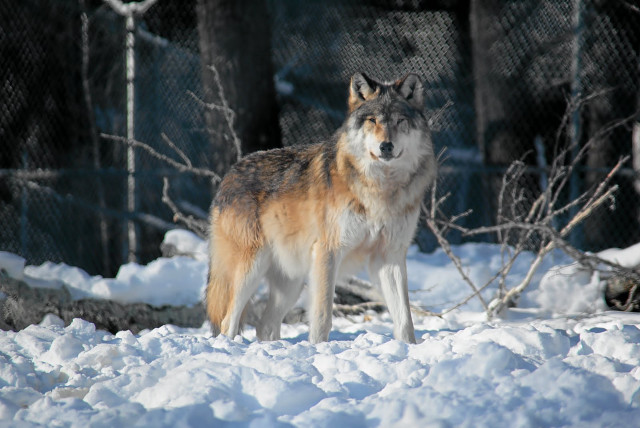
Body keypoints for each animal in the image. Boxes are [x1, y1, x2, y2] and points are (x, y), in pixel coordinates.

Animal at [206, 72, 437, 343]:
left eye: (400, 121)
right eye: (372, 121)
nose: (386, 146)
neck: (380, 190)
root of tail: (228, 175)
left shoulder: (390, 256)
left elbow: (404, 319)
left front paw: (408, 347)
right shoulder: (329, 251)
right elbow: (323, 316)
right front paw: (318, 348)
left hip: (290, 283)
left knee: (265, 325)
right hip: (250, 269)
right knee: (227, 322)